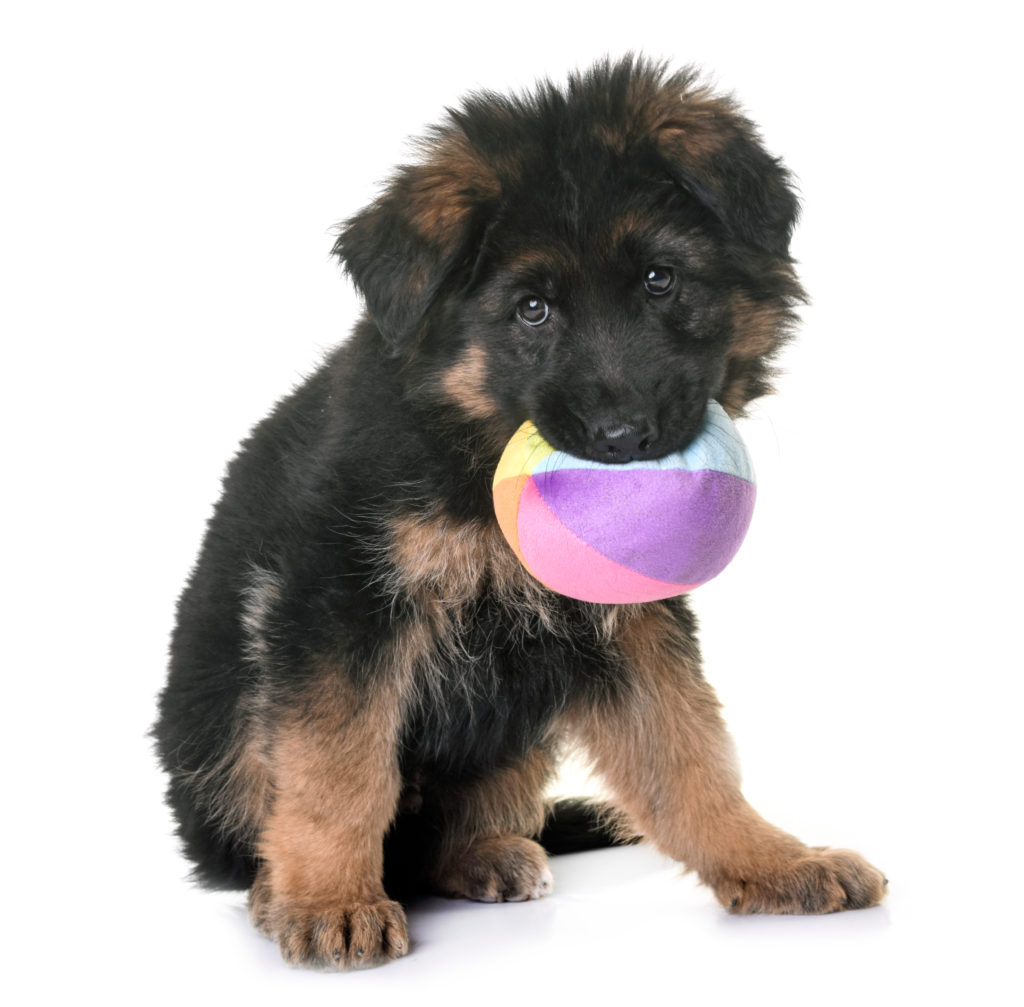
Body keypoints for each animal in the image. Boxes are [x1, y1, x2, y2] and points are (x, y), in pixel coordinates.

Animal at [155, 55, 884, 967]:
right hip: (220, 709)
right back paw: (277, 886)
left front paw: (771, 859)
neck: (473, 447)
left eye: (660, 280)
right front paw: (327, 897)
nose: (625, 438)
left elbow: (689, 753)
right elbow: (338, 767)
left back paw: (485, 853)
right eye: (532, 309)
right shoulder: (339, 604)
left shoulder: (626, 622)